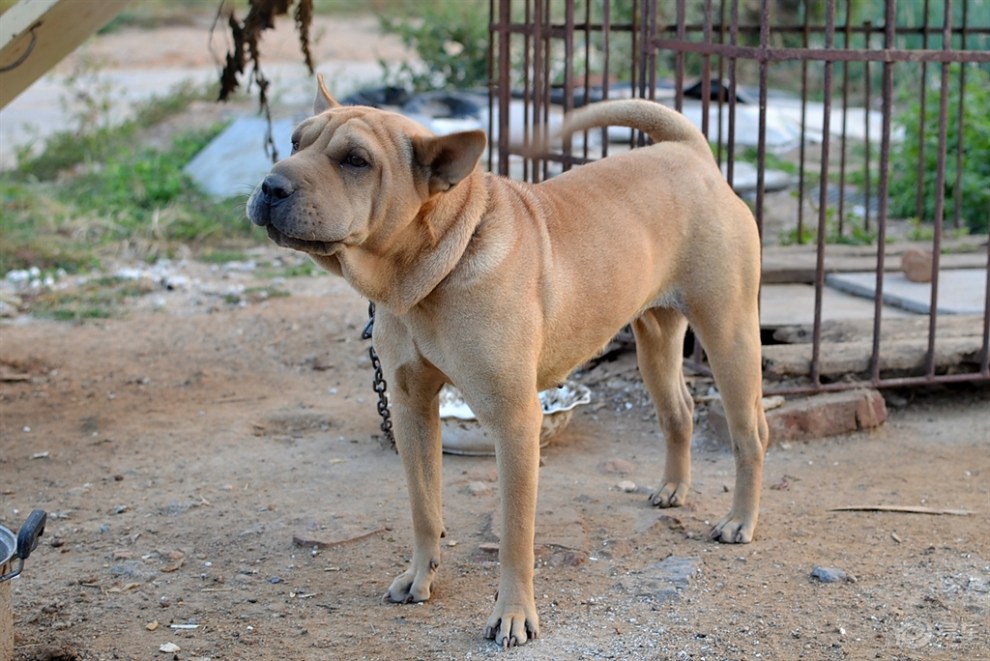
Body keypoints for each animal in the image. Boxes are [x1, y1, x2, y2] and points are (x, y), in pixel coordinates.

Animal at [246, 76, 768, 644]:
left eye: (356, 160)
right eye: (296, 142)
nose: (270, 185)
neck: (434, 269)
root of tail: (692, 154)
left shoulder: (515, 421)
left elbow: (516, 534)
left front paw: (513, 614)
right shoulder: (411, 410)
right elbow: (423, 505)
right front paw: (420, 575)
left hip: (729, 334)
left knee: (750, 434)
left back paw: (739, 521)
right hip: (655, 338)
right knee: (679, 413)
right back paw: (674, 488)